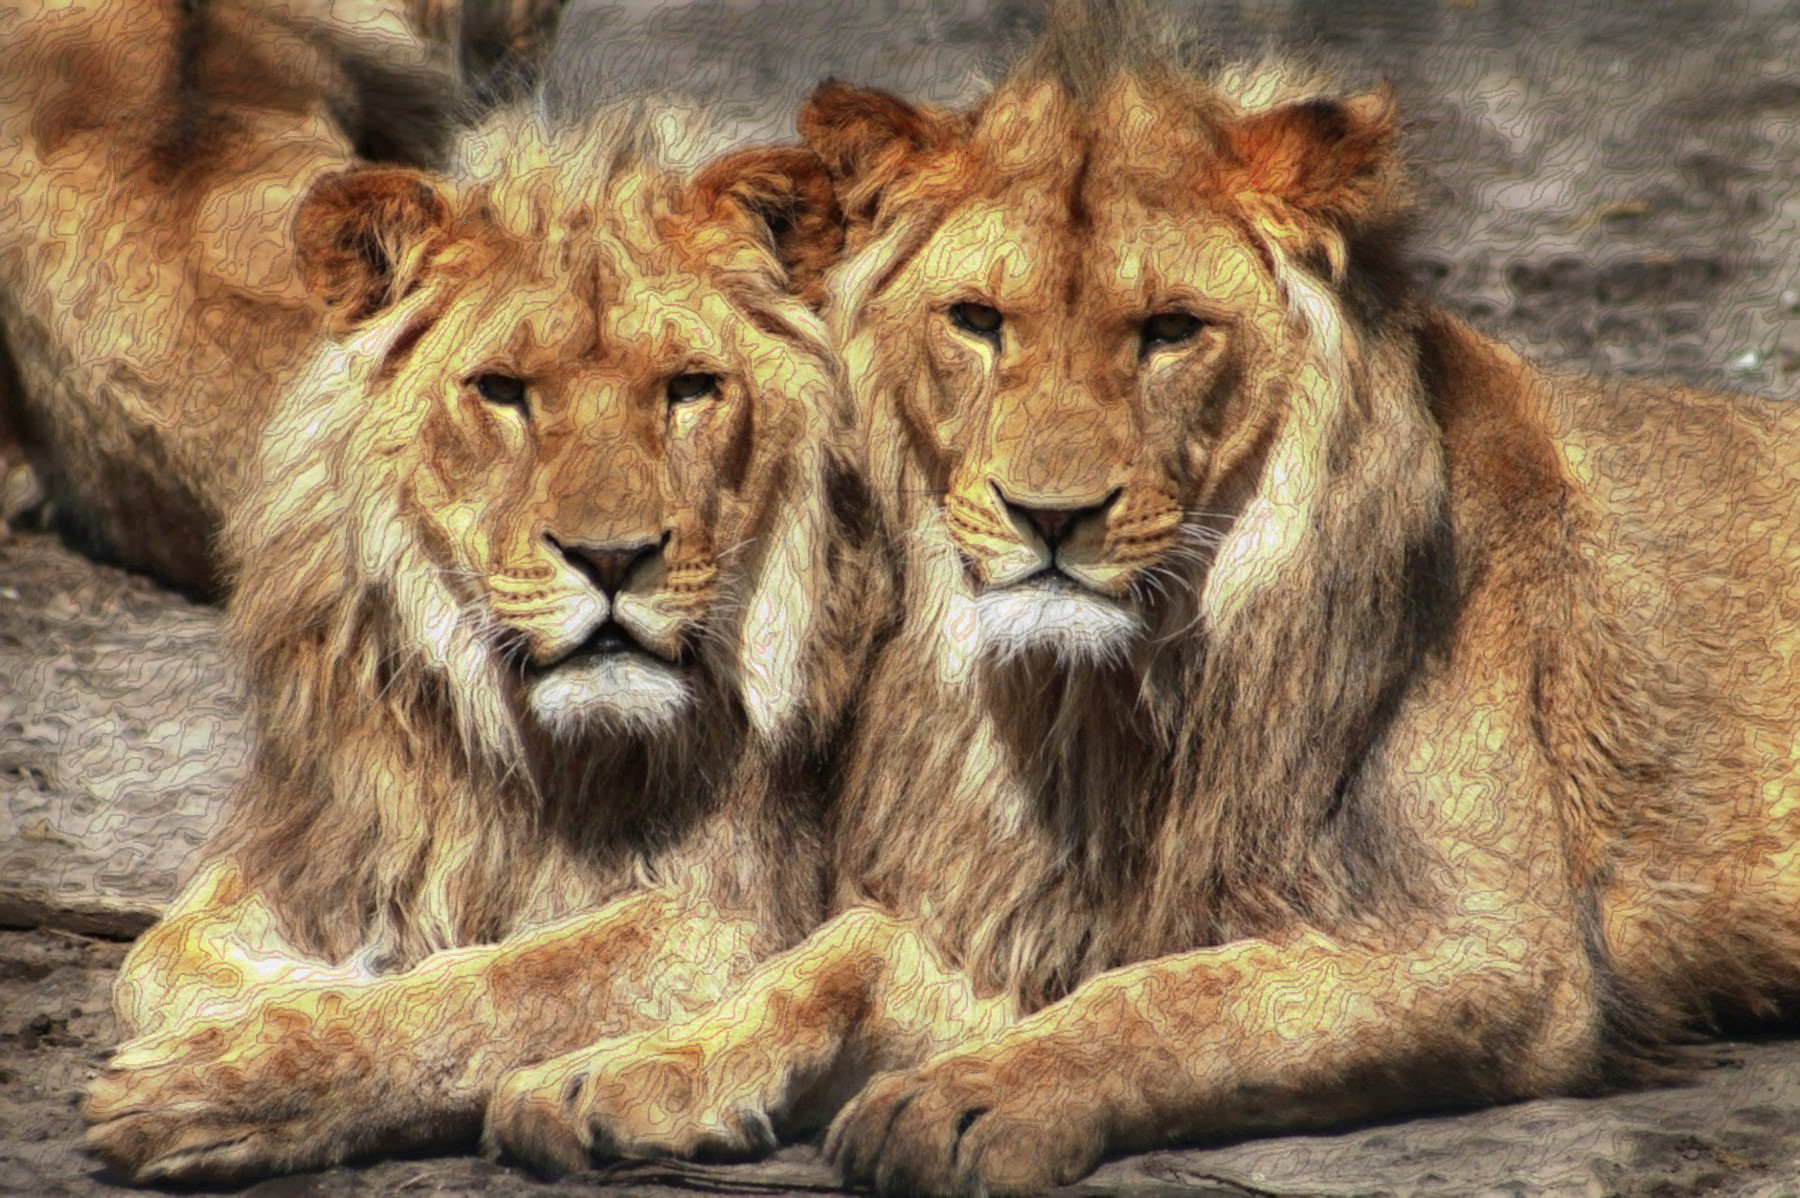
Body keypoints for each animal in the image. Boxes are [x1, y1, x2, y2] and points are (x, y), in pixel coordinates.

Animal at [79, 102, 878, 1184]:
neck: (524, 743)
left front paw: (232, 1071)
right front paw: (283, 991)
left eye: (690, 388)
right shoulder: (328, 828)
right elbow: (157, 956)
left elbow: (504, 986)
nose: (613, 558)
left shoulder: (733, 907)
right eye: (502, 390)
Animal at [484, 9, 1800, 1195]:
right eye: (978, 321)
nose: (1049, 518)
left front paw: (969, 1098)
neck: (1104, 702)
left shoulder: (1495, 948)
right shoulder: (1024, 909)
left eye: (1171, 331)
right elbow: (832, 957)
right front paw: (627, 1064)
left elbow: (1176, 995)